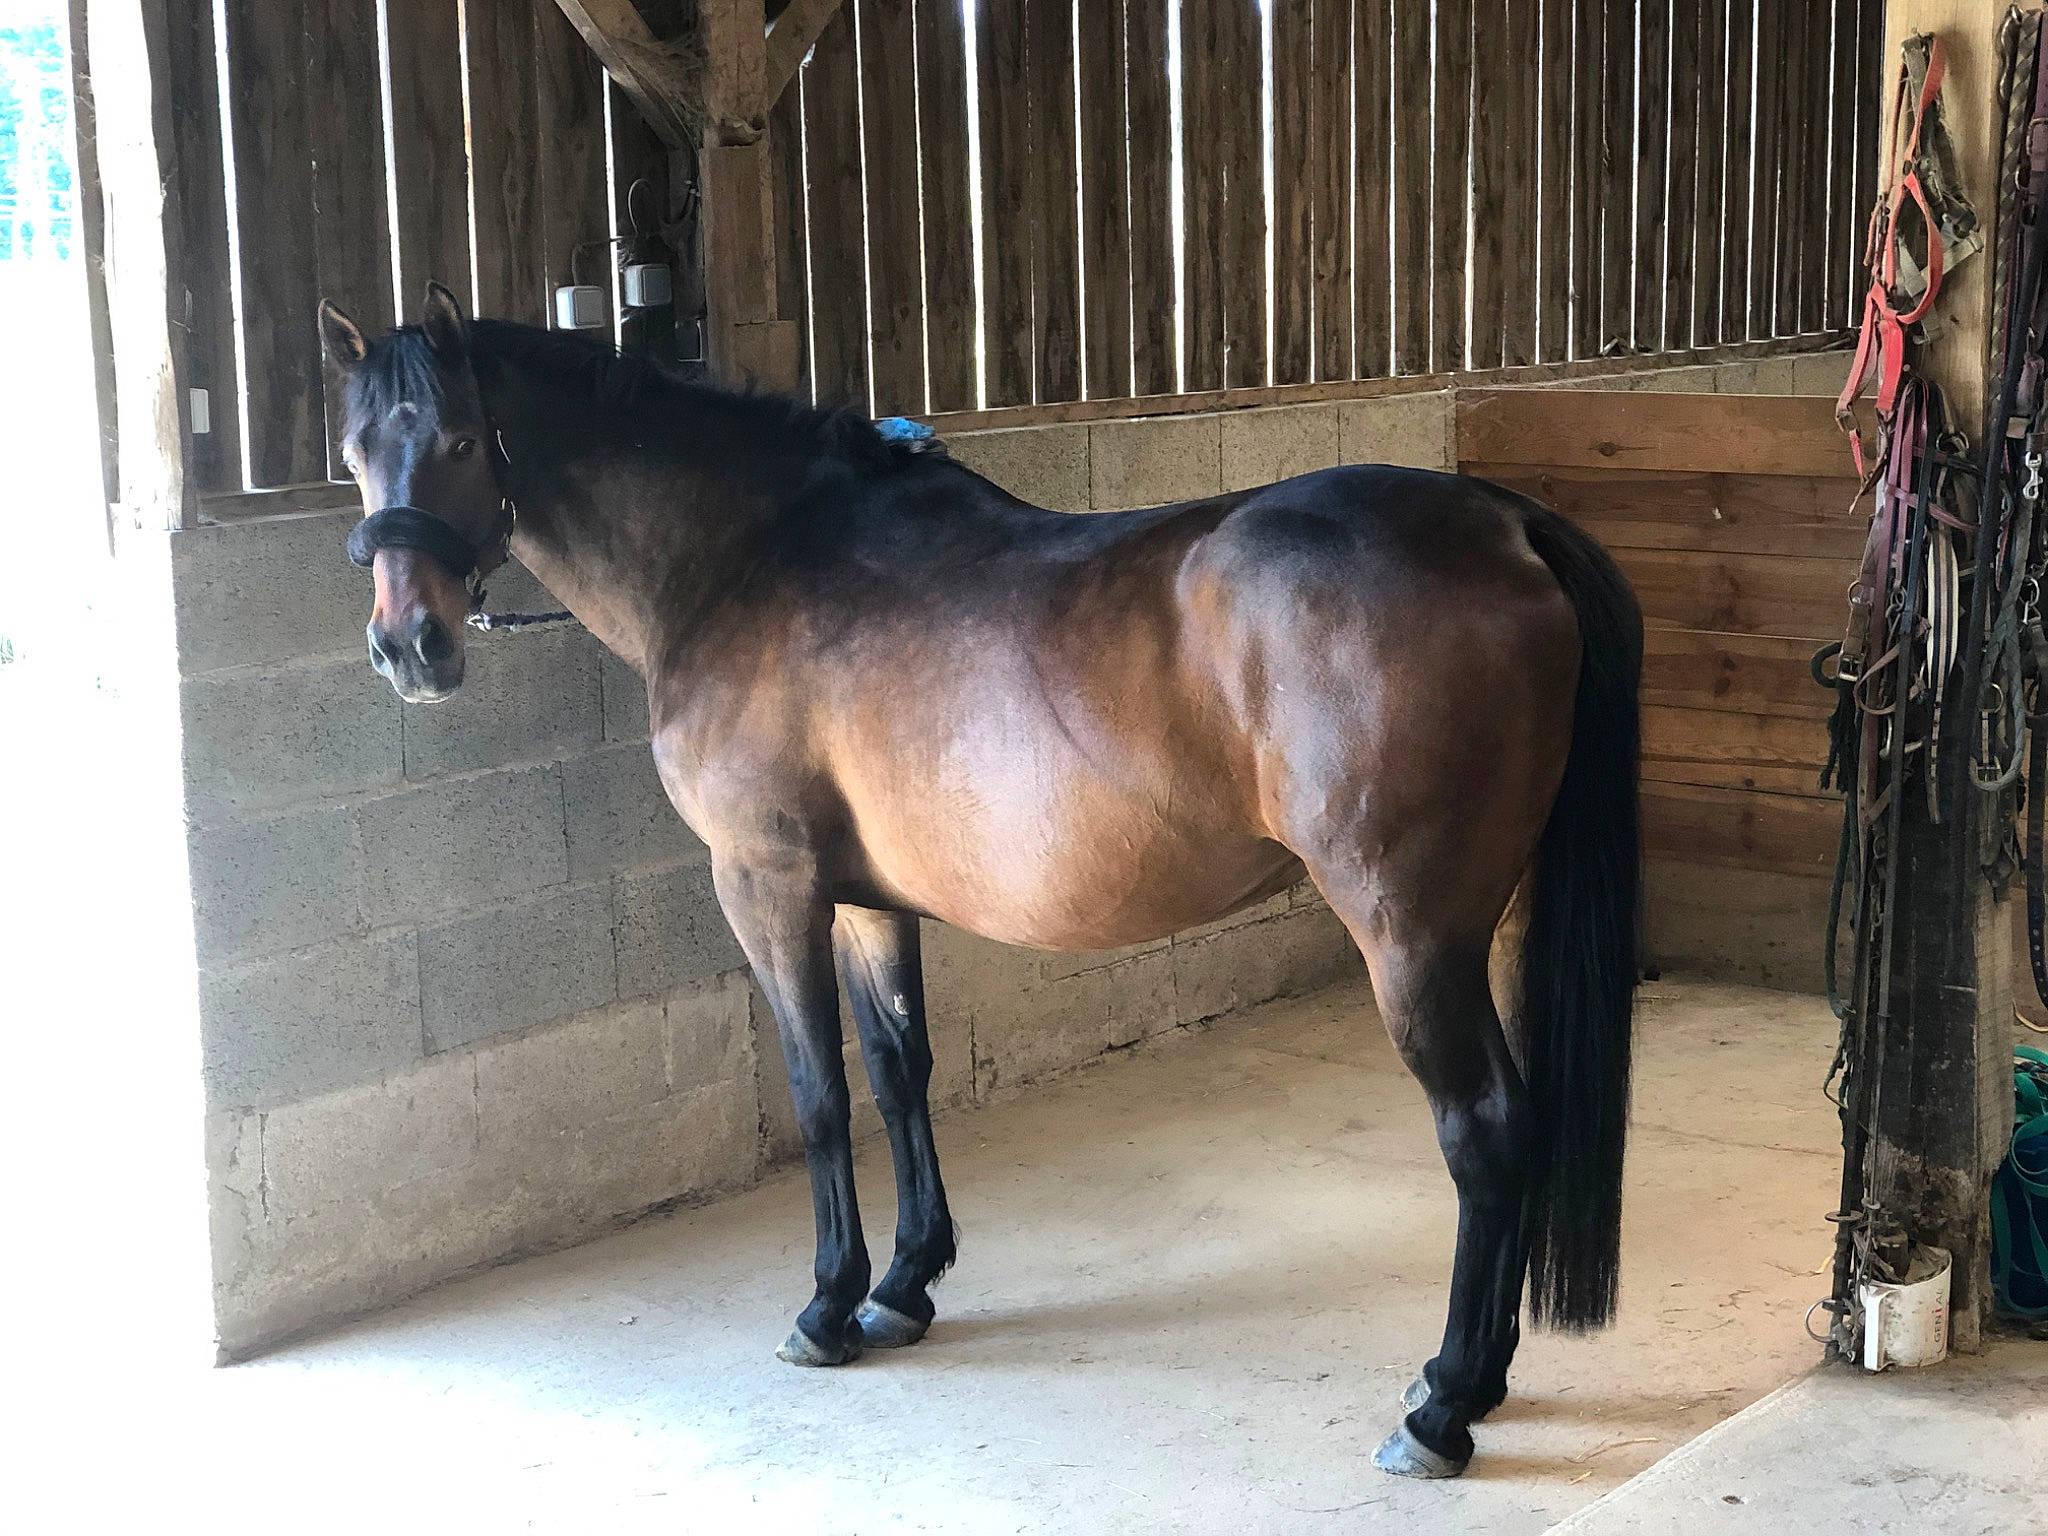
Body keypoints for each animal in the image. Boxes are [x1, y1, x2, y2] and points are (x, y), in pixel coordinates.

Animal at [315, 283, 1641, 1480]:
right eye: (353, 450)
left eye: (458, 439)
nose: (407, 647)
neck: (750, 559)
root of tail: (1503, 524)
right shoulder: (866, 899)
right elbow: (899, 1073)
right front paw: (904, 1287)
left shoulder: (766, 885)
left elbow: (817, 1093)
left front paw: (825, 1307)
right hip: (1478, 925)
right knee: (1517, 1119)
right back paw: (1472, 1378)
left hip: (1407, 933)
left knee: (1482, 1130)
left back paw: (1441, 1408)